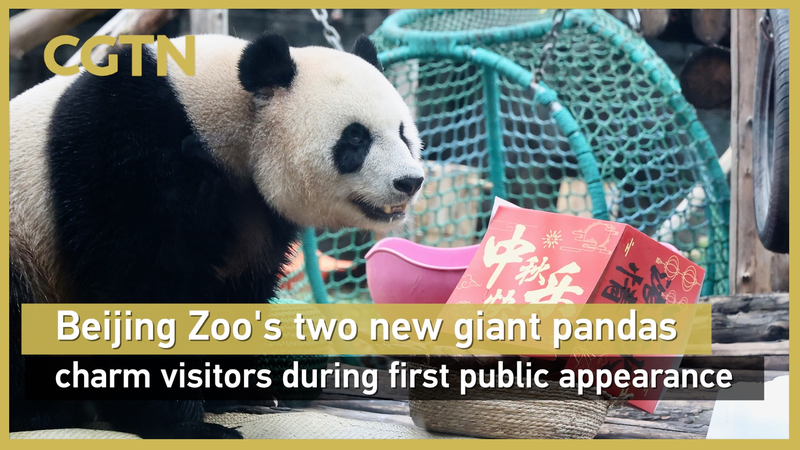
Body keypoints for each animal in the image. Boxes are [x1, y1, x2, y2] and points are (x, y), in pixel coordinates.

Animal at [10, 33, 424, 438]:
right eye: (355, 138)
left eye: (403, 133)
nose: (410, 181)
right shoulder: (123, 146)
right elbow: (137, 280)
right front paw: (183, 424)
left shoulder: (254, 208)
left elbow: (238, 289)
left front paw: (233, 395)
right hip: (22, 246)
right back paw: (39, 412)